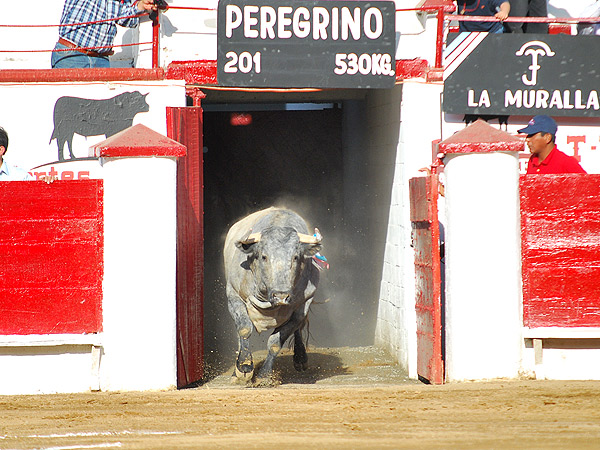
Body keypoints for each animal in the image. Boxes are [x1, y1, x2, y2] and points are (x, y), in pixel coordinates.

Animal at [223, 207, 322, 384]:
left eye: (295, 257)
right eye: (264, 256)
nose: (281, 296)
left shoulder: (302, 306)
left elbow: (275, 342)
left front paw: (265, 375)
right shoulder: (234, 297)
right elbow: (244, 329)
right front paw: (244, 367)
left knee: (298, 330)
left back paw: (300, 358)